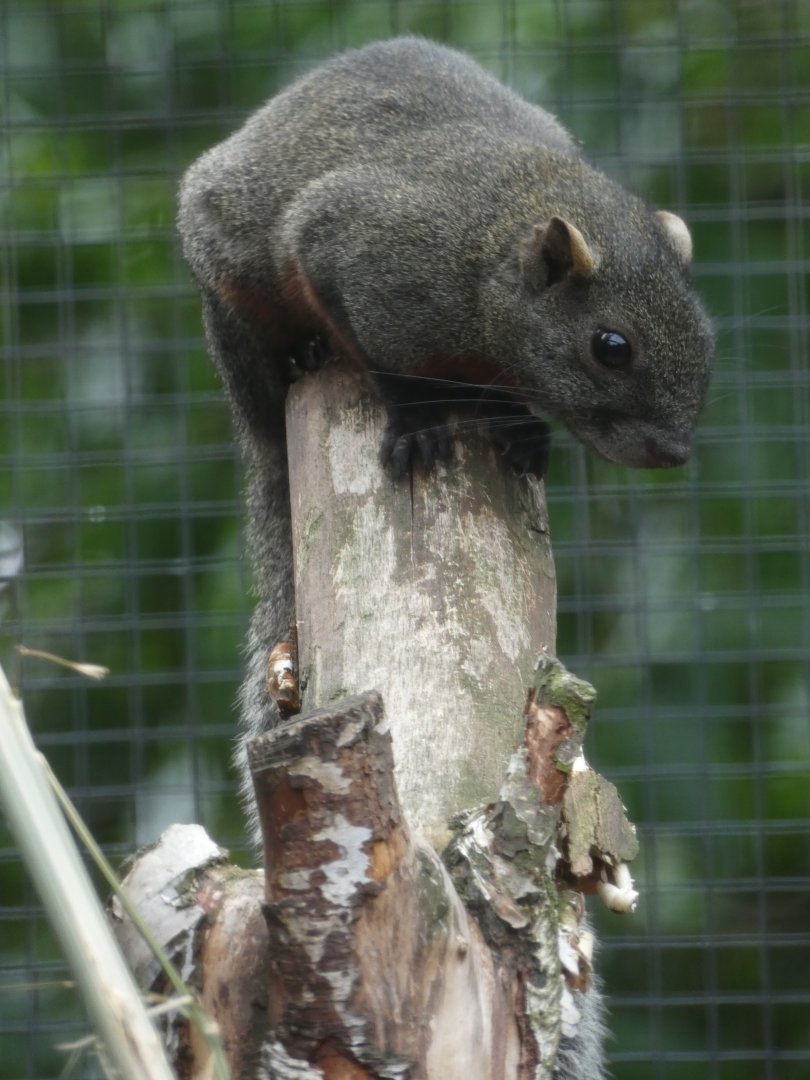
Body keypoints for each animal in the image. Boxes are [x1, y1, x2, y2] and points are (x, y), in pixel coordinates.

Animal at [179, 37, 713, 1080]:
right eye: (611, 344)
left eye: (704, 332)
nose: (674, 451)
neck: (492, 252)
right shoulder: (361, 253)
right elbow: (387, 361)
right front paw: (420, 417)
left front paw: (524, 431)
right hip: (236, 308)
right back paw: (302, 364)